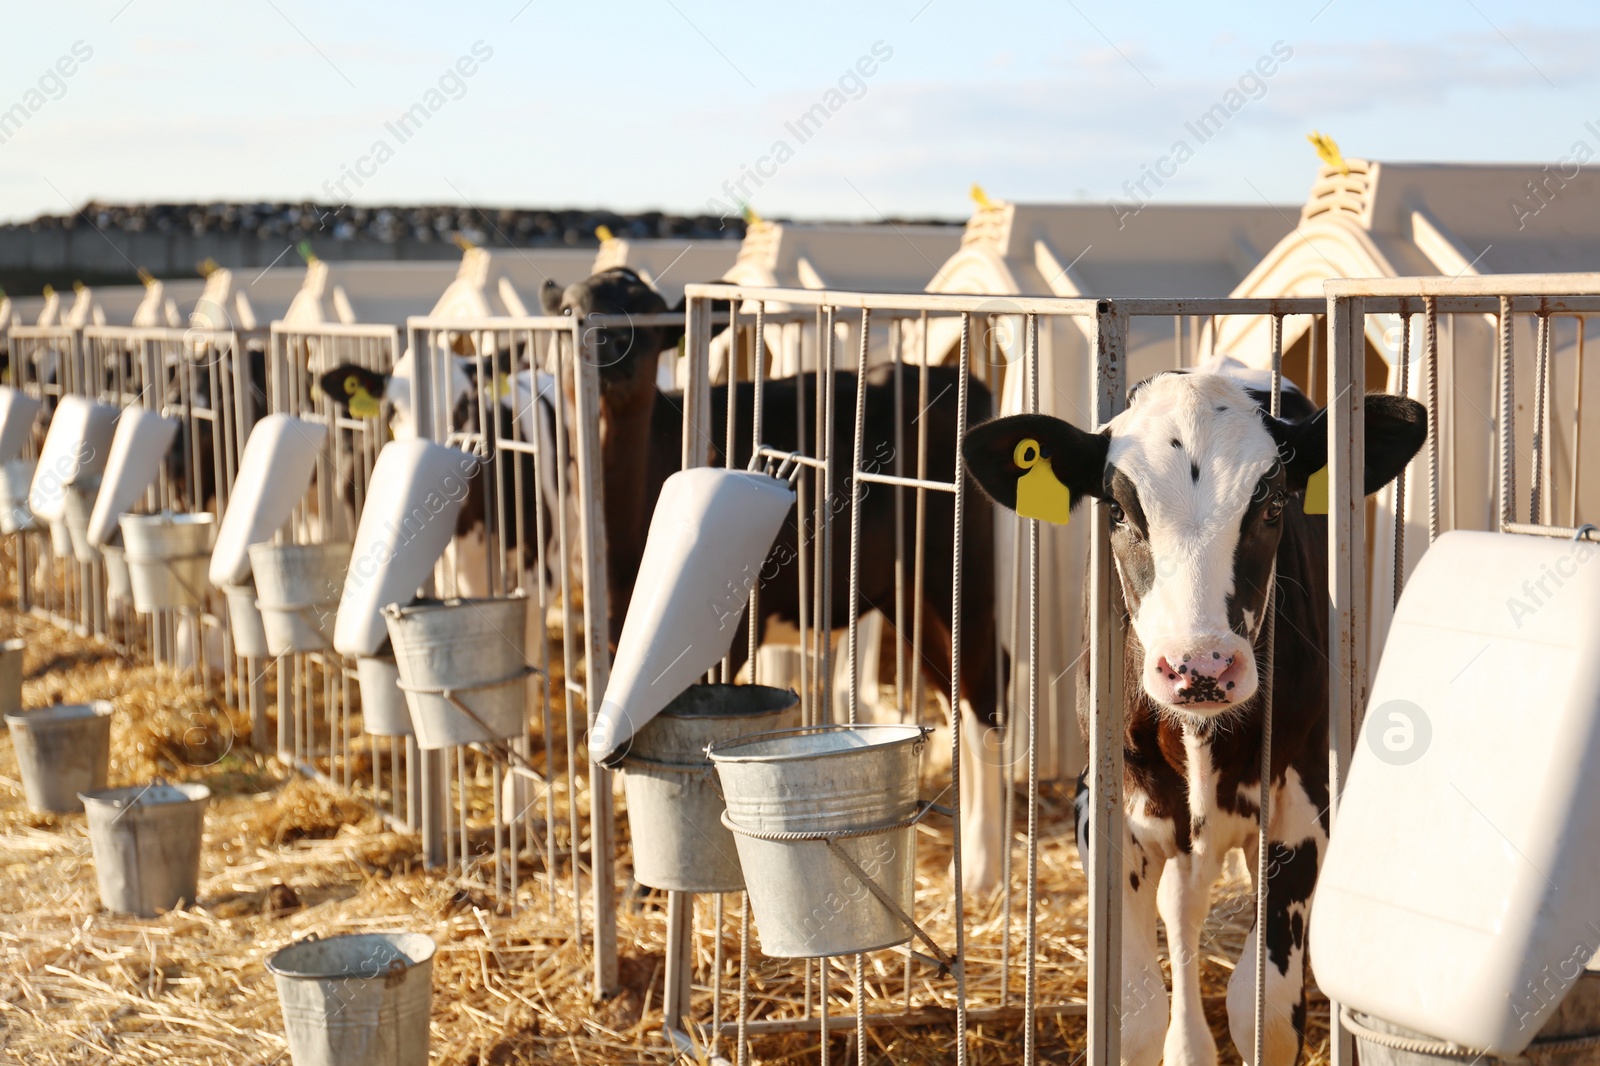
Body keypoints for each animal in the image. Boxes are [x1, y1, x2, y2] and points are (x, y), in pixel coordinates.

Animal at [960, 371, 1427, 1062]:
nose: (1200, 666)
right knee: (1181, 913)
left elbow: (1263, 1011)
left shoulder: (1301, 805)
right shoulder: (1105, 810)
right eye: (1119, 510)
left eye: (1273, 506)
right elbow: (1135, 1013)